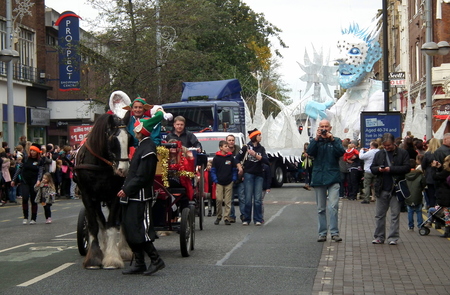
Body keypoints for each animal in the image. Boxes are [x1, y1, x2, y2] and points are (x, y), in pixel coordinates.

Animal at [74, 113, 133, 270]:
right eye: (113, 139)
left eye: (130, 138)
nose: (123, 170)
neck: (100, 164)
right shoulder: (88, 195)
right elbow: (94, 225)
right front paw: (94, 257)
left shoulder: (116, 195)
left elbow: (112, 224)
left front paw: (112, 258)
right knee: (100, 221)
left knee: (121, 221)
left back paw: (124, 250)